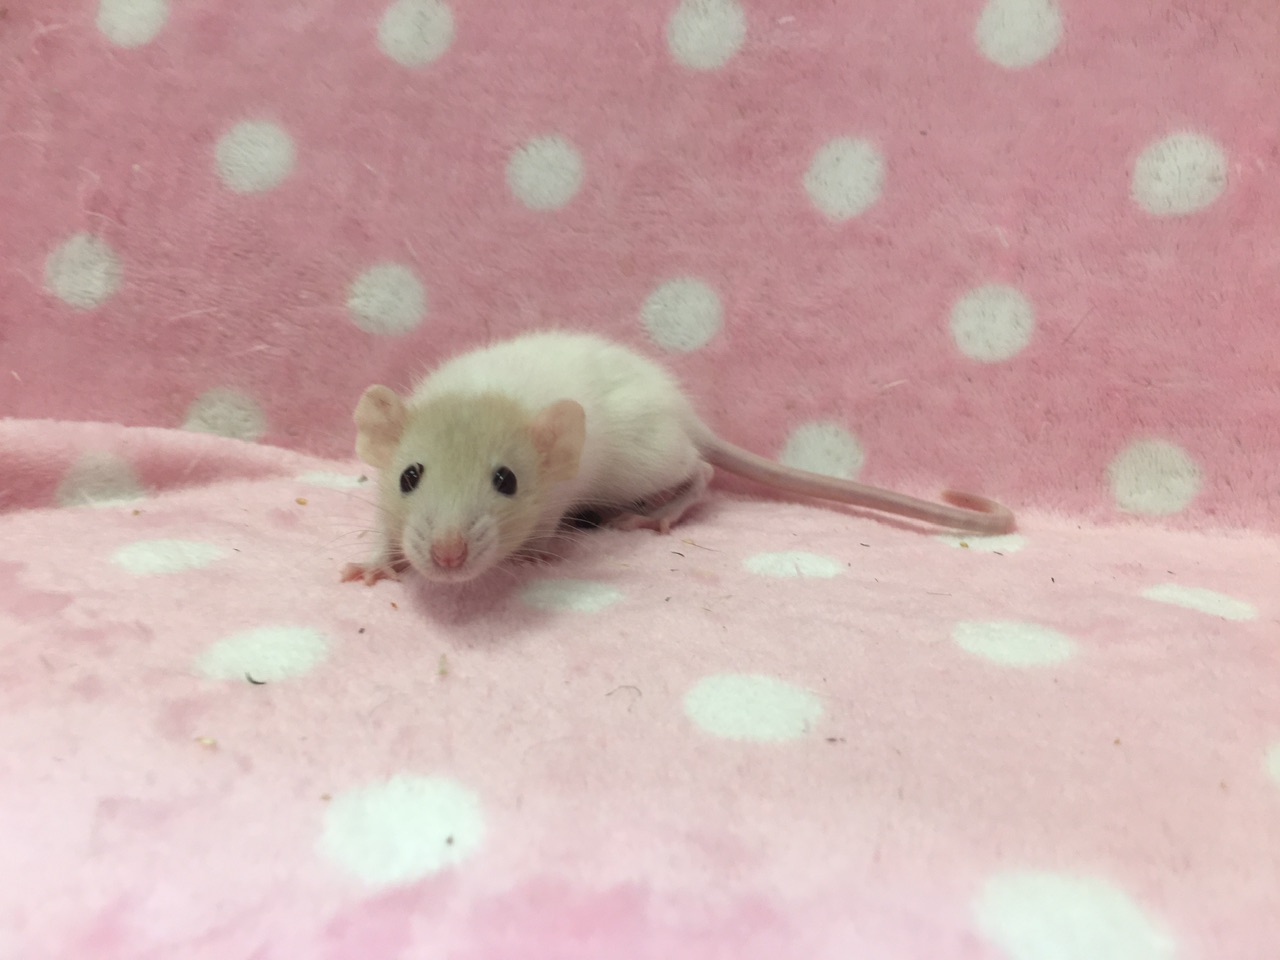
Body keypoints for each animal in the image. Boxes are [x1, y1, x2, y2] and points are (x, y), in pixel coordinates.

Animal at [341, 331, 1015, 585]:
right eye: (409, 475)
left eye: (506, 480)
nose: (448, 558)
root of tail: (682, 412)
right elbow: (378, 527)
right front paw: (373, 564)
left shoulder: (557, 496)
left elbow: (549, 525)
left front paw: (533, 555)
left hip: (645, 463)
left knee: (703, 470)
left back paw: (658, 512)